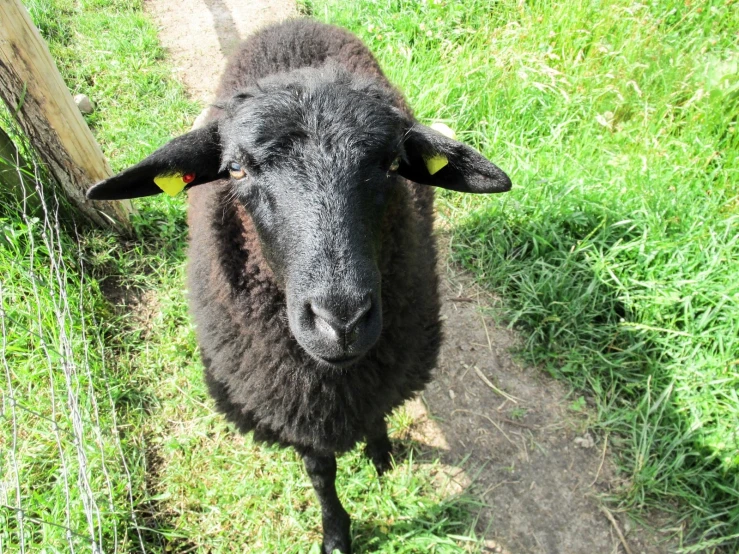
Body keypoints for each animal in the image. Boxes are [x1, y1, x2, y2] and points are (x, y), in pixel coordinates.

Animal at [86, 18, 508, 552]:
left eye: (393, 164)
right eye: (236, 168)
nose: (342, 322)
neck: (330, 376)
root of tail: (293, 24)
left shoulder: (385, 371)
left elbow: (377, 412)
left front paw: (381, 455)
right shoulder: (291, 411)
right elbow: (320, 472)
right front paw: (336, 532)